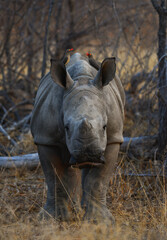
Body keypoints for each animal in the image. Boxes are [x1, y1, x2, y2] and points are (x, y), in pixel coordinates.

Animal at [31, 52, 125, 223]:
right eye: (66, 127)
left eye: (105, 127)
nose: (87, 154)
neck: (82, 79)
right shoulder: (46, 139)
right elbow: (55, 178)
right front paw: (52, 219)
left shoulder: (114, 138)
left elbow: (98, 181)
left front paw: (99, 221)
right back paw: (75, 210)